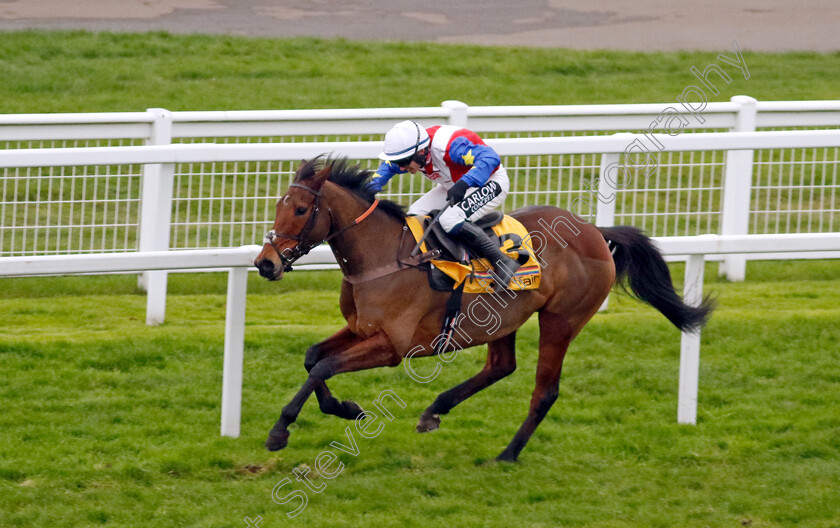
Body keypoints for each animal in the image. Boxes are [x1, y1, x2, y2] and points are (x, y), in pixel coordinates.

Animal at [253, 158, 712, 462]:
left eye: (299, 209)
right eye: (276, 206)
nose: (265, 263)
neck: (380, 257)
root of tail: (595, 231)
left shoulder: (392, 346)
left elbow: (324, 367)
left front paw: (280, 430)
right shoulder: (362, 329)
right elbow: (313, 357)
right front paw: (345, 408)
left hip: (562, 319)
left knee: (544, 390)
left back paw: (508, 453)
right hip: (503, 318)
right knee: (500, 366)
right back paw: (434, 411)